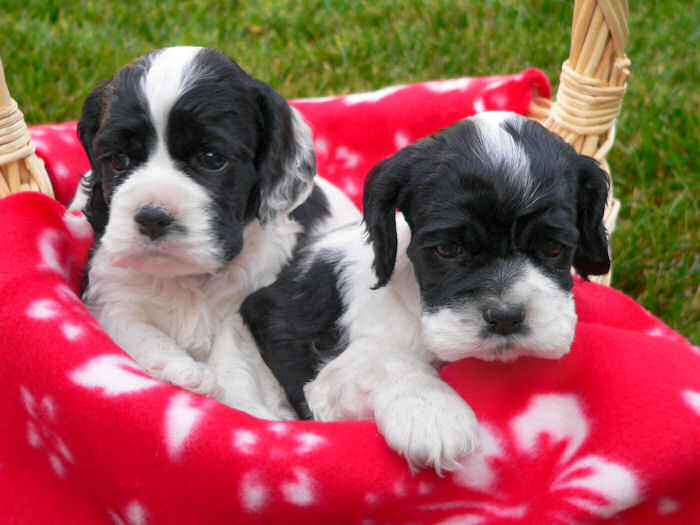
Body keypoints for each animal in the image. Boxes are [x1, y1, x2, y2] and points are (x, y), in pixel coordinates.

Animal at [76, 47, 360, 420]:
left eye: (212, 158)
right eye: (119, 160)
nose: (152, 218)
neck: (192, 279)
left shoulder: (249, 305)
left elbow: (236, 362)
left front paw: (250, 412)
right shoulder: (111, 291)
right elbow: (133, 328)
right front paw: (185, 371)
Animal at [242, 111, 612, 470]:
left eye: (553, 248)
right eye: (447, 249)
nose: (506, 317)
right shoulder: (329, 380)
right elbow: (388, 364)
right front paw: (432, 414)